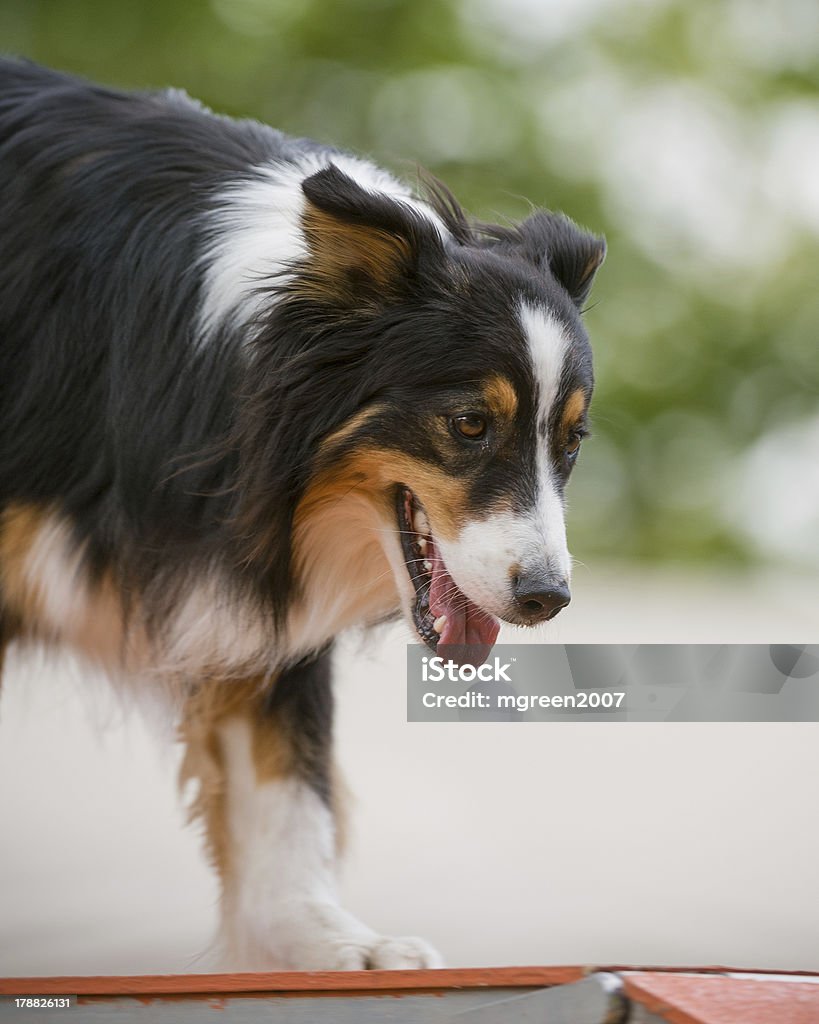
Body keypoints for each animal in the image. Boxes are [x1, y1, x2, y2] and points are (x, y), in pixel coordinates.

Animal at [0, 59, 601, 970]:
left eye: (571, 440)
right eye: (468, 424)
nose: (545, 599)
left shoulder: (255, 574)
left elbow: (288, 780)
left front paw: (338, 945)